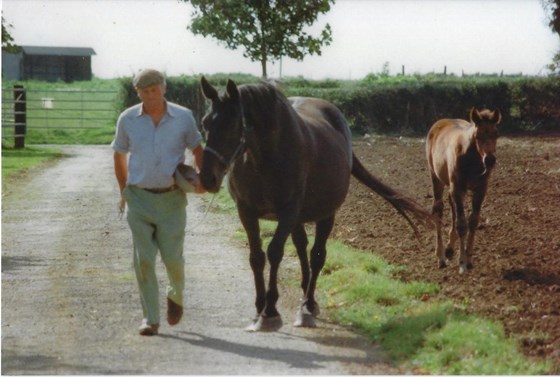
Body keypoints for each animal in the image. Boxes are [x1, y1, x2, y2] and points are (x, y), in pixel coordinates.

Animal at [200, 75, 434, 328]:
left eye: (232, 124)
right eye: (205, 123)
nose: (208, 178)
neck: (265, 158)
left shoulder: (288, 211)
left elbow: (275, 252)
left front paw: (270, 309)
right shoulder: (247, 211)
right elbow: (257, 257)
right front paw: (259, 306)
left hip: (325, 214)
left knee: (317, 255)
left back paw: (308, 303)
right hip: (298, 218)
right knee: (302, 247)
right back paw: (304, 295)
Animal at [426, 107, 500, 272]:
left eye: (496, 134)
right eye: (477, 136)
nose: (490, 160)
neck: (472, 159)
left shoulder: (480, 190)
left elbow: (473, 221)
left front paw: (469, 259)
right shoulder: (458, 188)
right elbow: (462, 224)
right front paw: (462, 263)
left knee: (451, 205)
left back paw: (449, 249)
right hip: (436, 178)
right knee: (438, 209)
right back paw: (441, 256)